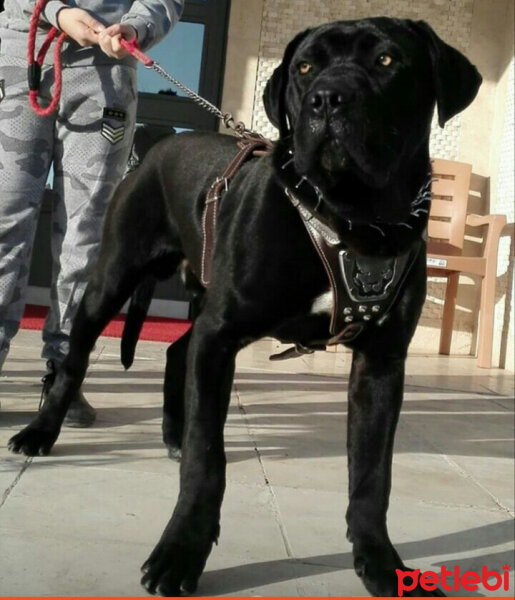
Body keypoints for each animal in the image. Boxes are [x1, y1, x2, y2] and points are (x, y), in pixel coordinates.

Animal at [9, 17, 484, 596]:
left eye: (388, 61)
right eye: (306, 67)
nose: (328, 98)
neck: (354, 215)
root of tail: (159, 146)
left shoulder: (381, 363)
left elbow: (374, 476)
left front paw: (381, 564)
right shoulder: (222, 334)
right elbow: (208, 462)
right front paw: (180, 552)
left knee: (178, 353)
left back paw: (173, 434)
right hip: (111, 280)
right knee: (74, 361)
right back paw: (42, 432)